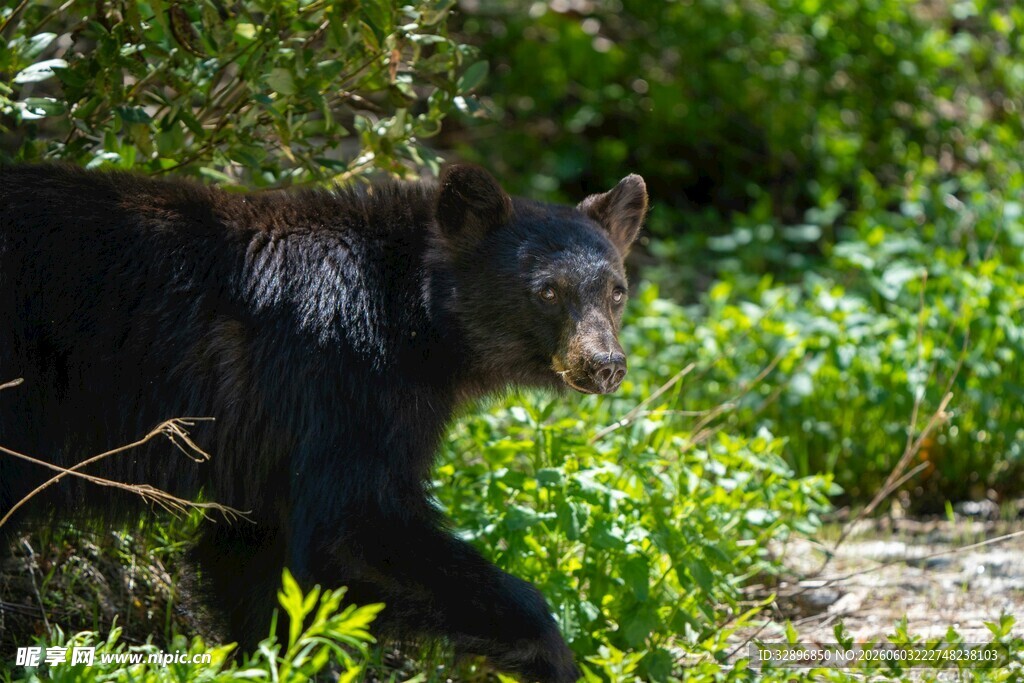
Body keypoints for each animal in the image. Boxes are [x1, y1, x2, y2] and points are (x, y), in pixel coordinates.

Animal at [0, 162, 647, 683]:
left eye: (616, 291)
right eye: (547, 292)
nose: (605, 364)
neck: (415, 319)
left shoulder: (271, 444)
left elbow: (256, 559)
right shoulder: (343, 382)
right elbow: (354, 527)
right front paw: (554, 656)